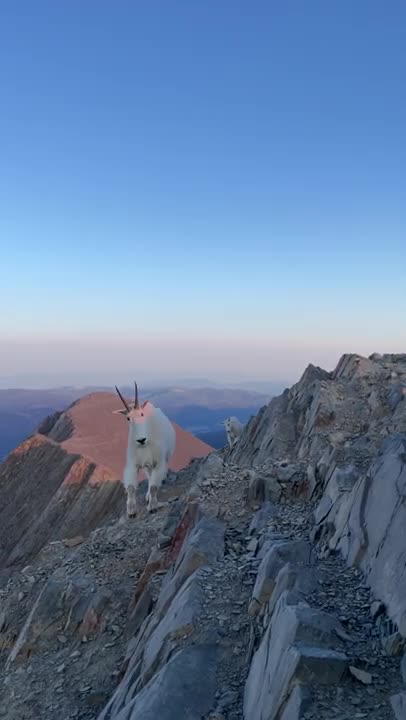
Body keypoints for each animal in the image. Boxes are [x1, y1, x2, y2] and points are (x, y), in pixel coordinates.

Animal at [113, 382, 176, 517]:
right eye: (128, 418)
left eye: (141, 414)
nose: (141, 440)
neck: (145, 445)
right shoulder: (133, 464)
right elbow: (131, 487)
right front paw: (131, 511)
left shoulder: (159, 462)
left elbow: (154, 487)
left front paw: (152, 507)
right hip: (147, 465)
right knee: (149, 476)